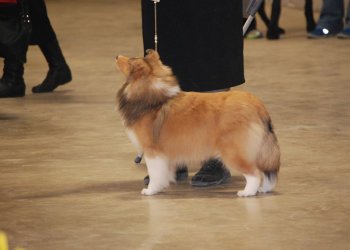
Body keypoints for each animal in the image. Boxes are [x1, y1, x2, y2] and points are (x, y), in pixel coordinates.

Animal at [116, 49, 280, 196]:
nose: (117, 56)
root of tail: (257, 105)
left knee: (254, 172)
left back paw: (247, 192)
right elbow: (163, 172)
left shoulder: (152, 151)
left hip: (233, 151)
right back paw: (264, 189)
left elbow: (155, 173)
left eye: (130, 61)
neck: (153, 98)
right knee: (266, 170)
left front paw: (151, 190)